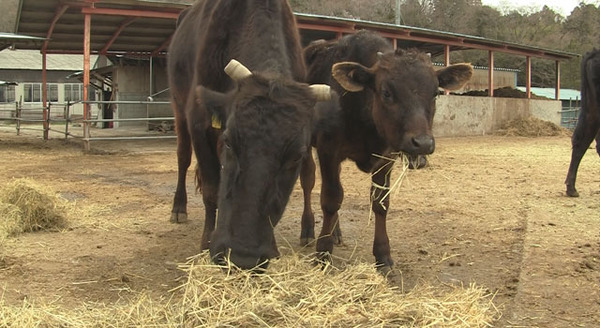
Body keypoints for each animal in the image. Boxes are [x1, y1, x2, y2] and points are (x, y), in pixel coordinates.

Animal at [166, 0, 330, 270]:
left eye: (295, 156)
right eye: (229, 142)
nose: (243, 256)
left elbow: (305, 177)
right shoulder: (199, 123)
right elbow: (211, 188)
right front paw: (206, 241)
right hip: (177, 107)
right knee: (183, 157)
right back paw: (179, 207)